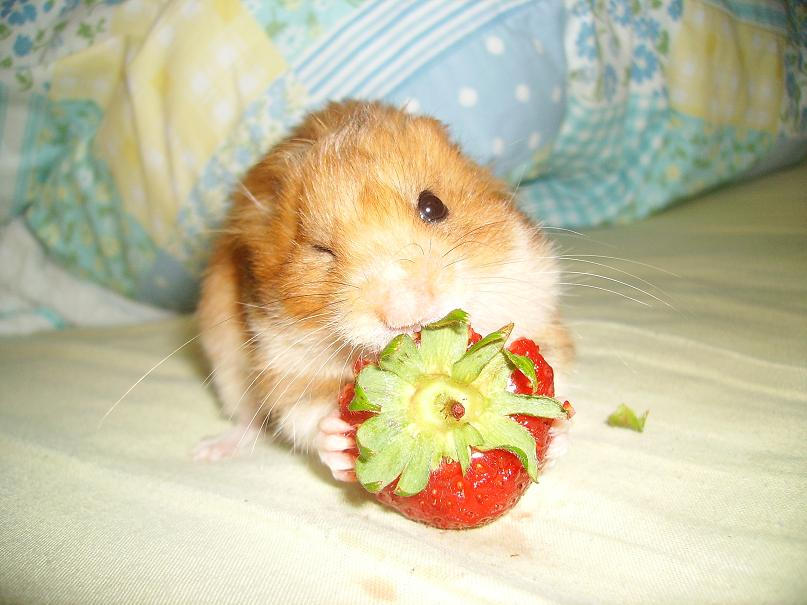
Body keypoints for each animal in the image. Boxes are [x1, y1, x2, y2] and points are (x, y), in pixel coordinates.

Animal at [196, 99, 576, 478]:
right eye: (320, 251)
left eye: (433, 206)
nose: (405, 313)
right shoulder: (282, 361)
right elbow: (304, 412)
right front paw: (339, 441)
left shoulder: (536, 298)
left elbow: (552, 367)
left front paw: (556, 430)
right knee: (248, 421)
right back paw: (209, 451)